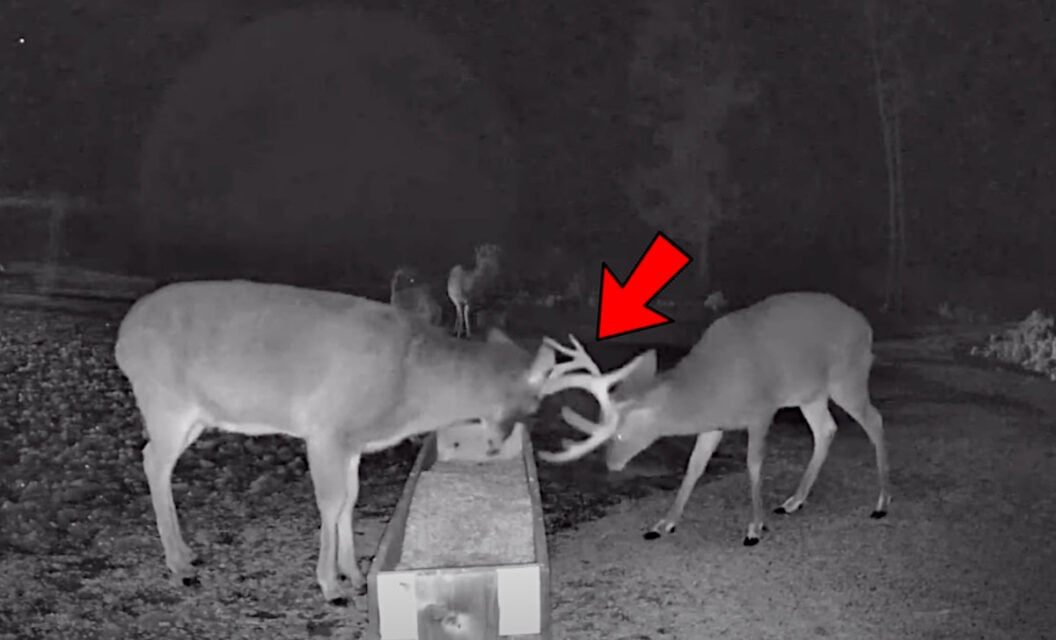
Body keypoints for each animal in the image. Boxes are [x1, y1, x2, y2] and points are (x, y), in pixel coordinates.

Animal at [115, 280, 557, 608]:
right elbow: (330, 503)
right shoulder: (325, 430)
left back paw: (187, 555)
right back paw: (180, 565)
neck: (410, 383)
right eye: (535, 404)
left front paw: (356, 575)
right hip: (166, 402)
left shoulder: (353, 443)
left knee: (154, 459)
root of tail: (123, 340)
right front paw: (332, 586)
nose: (499, 443)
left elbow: (350, 499)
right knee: (154, 461)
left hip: (193, 415)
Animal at [536, 293, 891, 549]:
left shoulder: (761, 409)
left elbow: (754, 465)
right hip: (810, 393)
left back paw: (881, 503)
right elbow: (694, 467)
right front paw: (663, 524)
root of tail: (867, 326)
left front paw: (754, 528)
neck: (709, 388)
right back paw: (793, 501)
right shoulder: (713, 424)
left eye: (620, 434)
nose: (610, 464)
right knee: (826, 430)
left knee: (875, 420)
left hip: (847, 377)